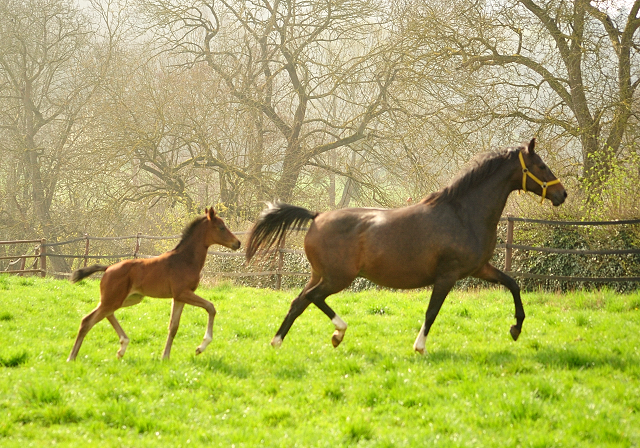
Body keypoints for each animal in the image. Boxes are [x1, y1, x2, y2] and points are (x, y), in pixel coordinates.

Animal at [68, 207, 240, 360]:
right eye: (221, 227)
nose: (237, 243)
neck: (185, 260)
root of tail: (108, 268)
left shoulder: (179, 298)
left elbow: (173, 327)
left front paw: (165, 357)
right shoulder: (183, 293)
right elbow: (211, 307)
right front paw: (200, 347)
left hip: (129, 299)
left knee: (106, 314)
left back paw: (122, 347)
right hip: (113, 300)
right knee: (88, 320)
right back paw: (72, 357)